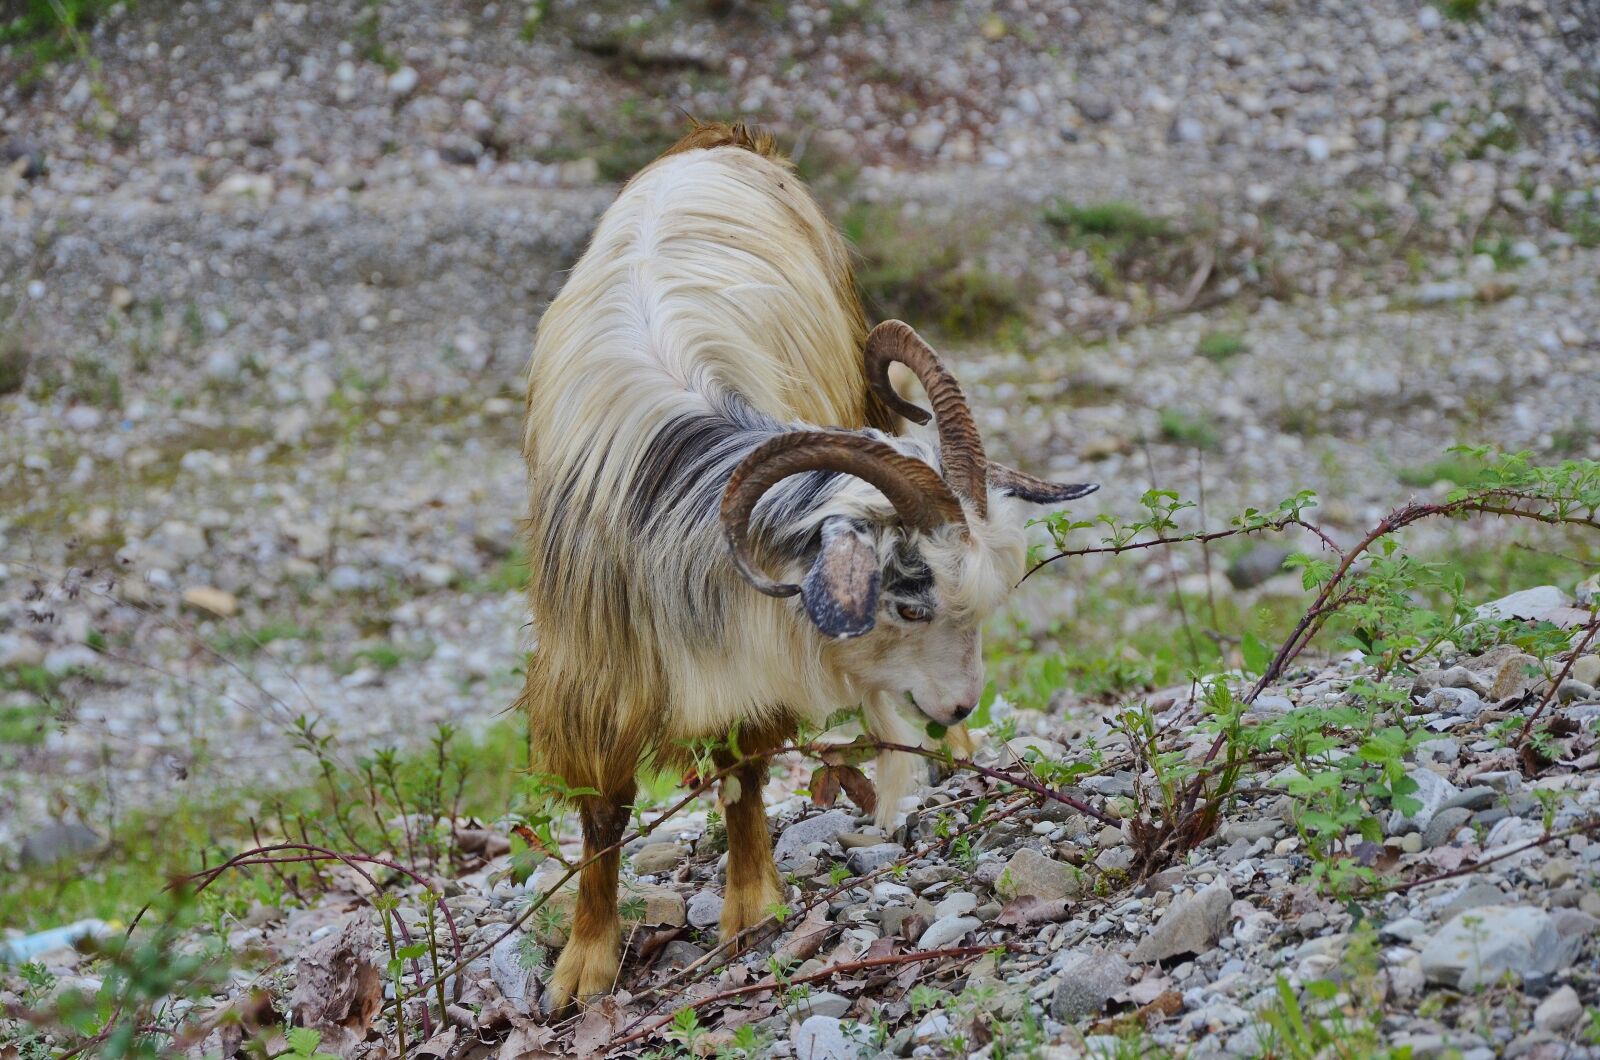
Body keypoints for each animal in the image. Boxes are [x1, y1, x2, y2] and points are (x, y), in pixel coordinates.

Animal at [518, 122, 1097, 1010]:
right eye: (910, 604)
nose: (961, 705)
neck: (672, 473)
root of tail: (725, 141)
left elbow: (741, 767)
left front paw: (752, 906)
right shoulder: (593, 661)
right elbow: (604, 811)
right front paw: (584, 962)